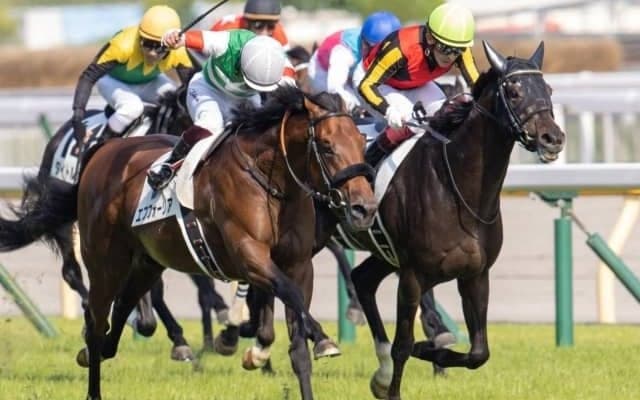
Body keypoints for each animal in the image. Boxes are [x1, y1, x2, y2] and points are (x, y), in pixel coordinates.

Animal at [70, 85, 376, 400]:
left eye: (360, 141)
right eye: (327, 145)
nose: (364, 208)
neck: (270, 181)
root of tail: (105, 150)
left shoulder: (299, 265)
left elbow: (298, 346)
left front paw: (312, 344)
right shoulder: (250, 257)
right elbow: (290, 293)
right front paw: (322, 336)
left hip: (148, 262)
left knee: (121, 307)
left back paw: (98, 351)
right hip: (105, 260)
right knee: (96, 319)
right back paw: (94, 386)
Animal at [313, 41, 565, 399]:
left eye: (548, 89)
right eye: (514, 91)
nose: (552, 138)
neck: (457, 187)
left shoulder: (475, 275)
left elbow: (478, 352)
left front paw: (429, 351)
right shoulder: (413, 275)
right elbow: (403, 345)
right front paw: (401, 377)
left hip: (385, 255)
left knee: (362, 279)